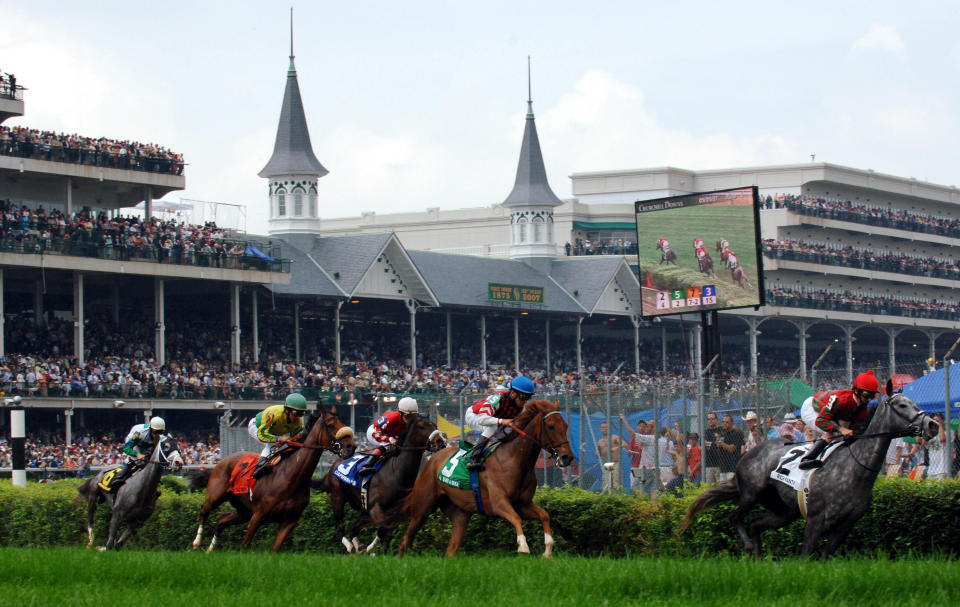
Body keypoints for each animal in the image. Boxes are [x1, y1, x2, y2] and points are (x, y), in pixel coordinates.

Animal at [189, 406, 354, 552]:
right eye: (331, 425)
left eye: (342, 422)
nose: (351, 446)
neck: (290, 477)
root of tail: (221, 461)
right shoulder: (258, 515)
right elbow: (244, 545)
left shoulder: (290, 520)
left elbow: (274, 549)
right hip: (216, 496)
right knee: (204, 510)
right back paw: (197, 542)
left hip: (243, 511)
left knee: (221, 521)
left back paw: (210, 549)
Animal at [320, 416, 444, 552]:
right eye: (422, 426)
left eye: (435, 426)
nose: (440, 441)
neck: (395, 472)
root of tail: (334, 464)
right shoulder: (375, 507)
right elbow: (384, 529)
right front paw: (371, 550)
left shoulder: (394, 511)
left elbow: (386, 532)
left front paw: (376, 550)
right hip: (338, 498)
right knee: (340, 528)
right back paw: (351, 546)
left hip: (363, 509)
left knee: (353, 528)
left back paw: (359, 546)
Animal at [396, 402, 568, 560]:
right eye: (551, 426)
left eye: (566, 426)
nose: (567, 457)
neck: (514, 460)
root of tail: (433, 458)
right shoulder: (498, 503)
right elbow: (516, 519)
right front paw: (523, 546)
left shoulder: (523, 504)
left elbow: (544, 515)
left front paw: (548, 549)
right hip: (422, 508)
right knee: (405, 539)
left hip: (459, 514)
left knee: (451, 548)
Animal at [636, 185, 764, 318]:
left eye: (657, 244)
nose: (656, 247)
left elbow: (663, 262)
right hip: (740, 275)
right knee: (740, 280)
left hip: (733, 275)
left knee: (735, 282)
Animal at [684, 394, 936, 560]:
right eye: (902, 405)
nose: (932, 424)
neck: (854, 466)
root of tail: (748, 453)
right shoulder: (816, 518)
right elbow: (806, 555)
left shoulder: (845, 525)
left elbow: (826, 556)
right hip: (751, 493)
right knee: (736, 518)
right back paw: (747, 546)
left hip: (784, 511)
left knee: (755, 525)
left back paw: (758, 559)